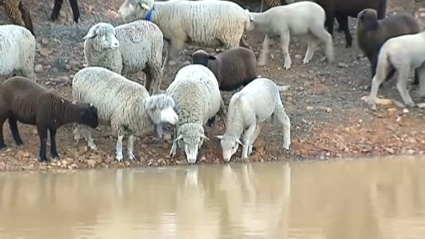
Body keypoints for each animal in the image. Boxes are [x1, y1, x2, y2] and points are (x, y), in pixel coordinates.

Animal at [117, 0, 252, 66]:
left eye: (133, 3)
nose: (119, 12)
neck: (157, 12)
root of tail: (244, 14)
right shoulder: (170, 39)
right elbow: (168, 55)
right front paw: (164, 67)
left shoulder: (178, 37)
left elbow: (173, 55)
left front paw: (183, 63)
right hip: (235, 37)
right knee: (245, 45)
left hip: (231, 37)